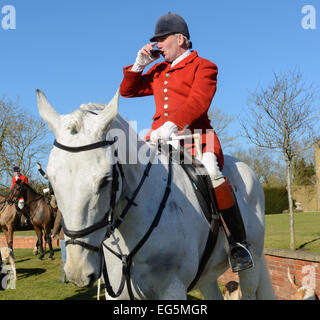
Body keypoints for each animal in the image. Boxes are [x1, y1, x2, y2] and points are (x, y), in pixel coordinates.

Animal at [35, 89, 276, 298]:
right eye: (52, 181)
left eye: (106, 180)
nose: (78, 271)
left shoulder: (172, 289)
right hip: (207, 277)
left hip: (251, 265)